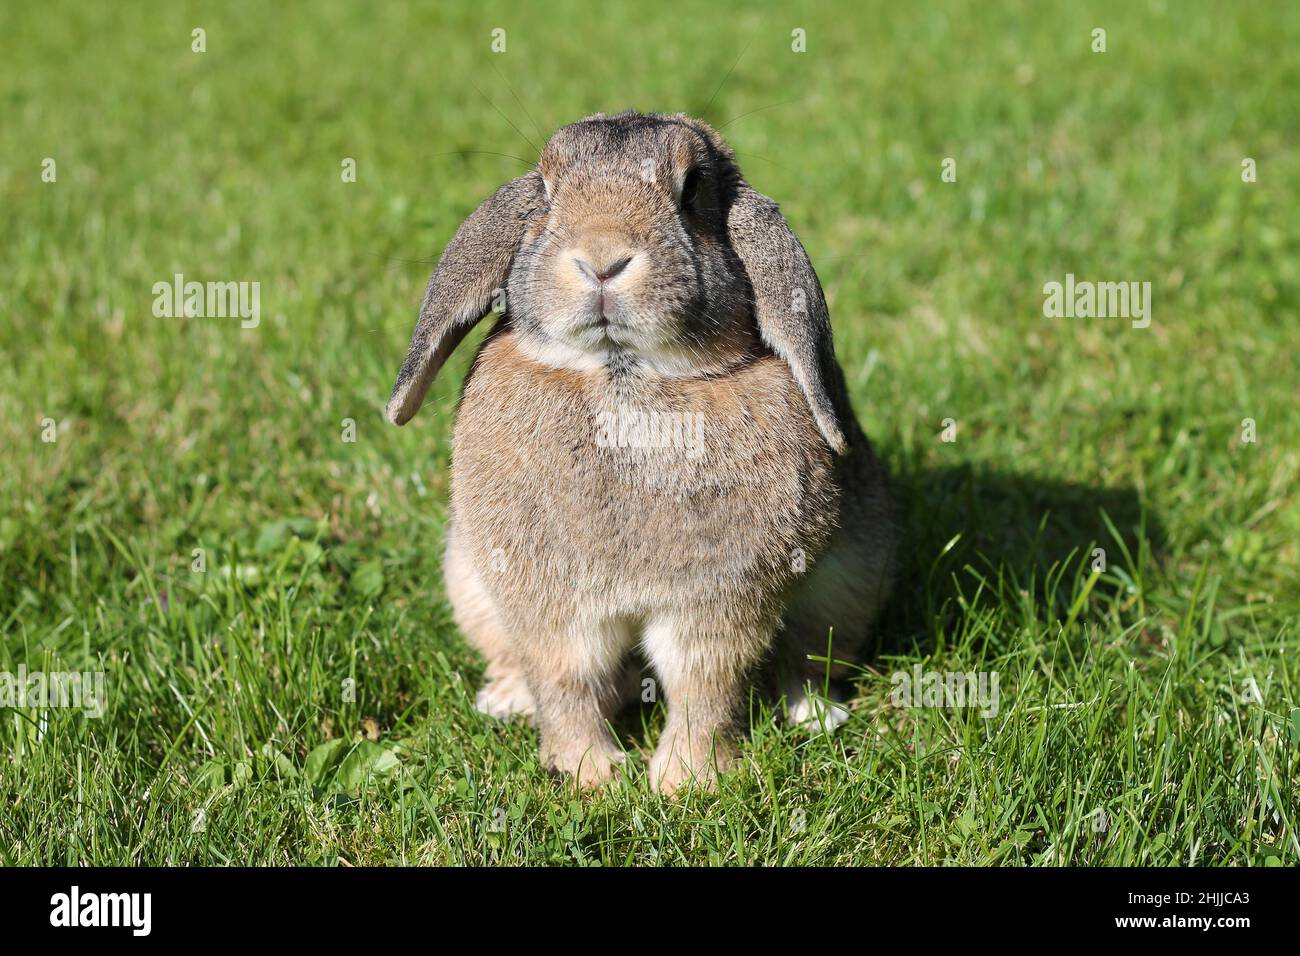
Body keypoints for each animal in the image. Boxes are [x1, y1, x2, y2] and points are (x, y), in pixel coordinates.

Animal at [386, 111, 894, 794]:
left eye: (693, 190)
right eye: (545, 192)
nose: (602, 261)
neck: (621, 375)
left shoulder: (718, 603)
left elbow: (704, 688)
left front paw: (685, 781)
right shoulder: (552, 608)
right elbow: (567, 683)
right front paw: (593, 775)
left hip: (850, 584)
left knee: (808, 658)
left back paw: (814, 713)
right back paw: (505, 700)